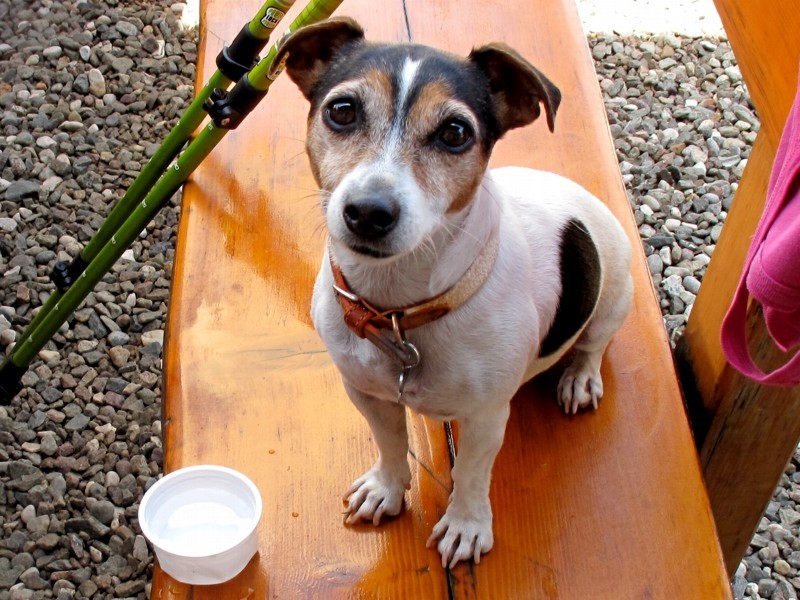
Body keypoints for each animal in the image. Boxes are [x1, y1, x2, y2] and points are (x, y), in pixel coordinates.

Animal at [274, 17, 633, 568]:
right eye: (342, 110)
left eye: (455, 133)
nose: (369, 211)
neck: (401, 309)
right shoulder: (365, 392)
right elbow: (391, 443)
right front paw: (387, 488)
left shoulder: (486, 418)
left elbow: (471, 473)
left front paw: (466, 525)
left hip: (615, 293)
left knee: (594, 343)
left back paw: (579, 377)